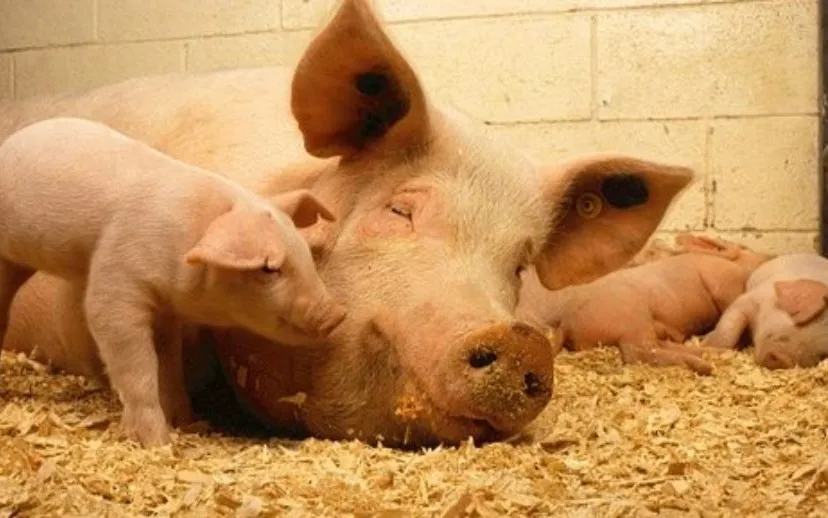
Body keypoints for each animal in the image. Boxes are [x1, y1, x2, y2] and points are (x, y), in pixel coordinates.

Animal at [0, 117, 346, 447]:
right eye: (268, 269)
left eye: (305, 252)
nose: (337, 314)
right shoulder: (116, 278)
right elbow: (135, 362)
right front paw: (158, 443)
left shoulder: (165, 310)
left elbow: (168, 364)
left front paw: (189, 423)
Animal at [516, 234, 773, 374]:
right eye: (746, 248)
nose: (769, 256)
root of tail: (566, 324)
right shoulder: (721, 281)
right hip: (633, 318)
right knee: (639, 352)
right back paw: (705, 366)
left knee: (658, 345)